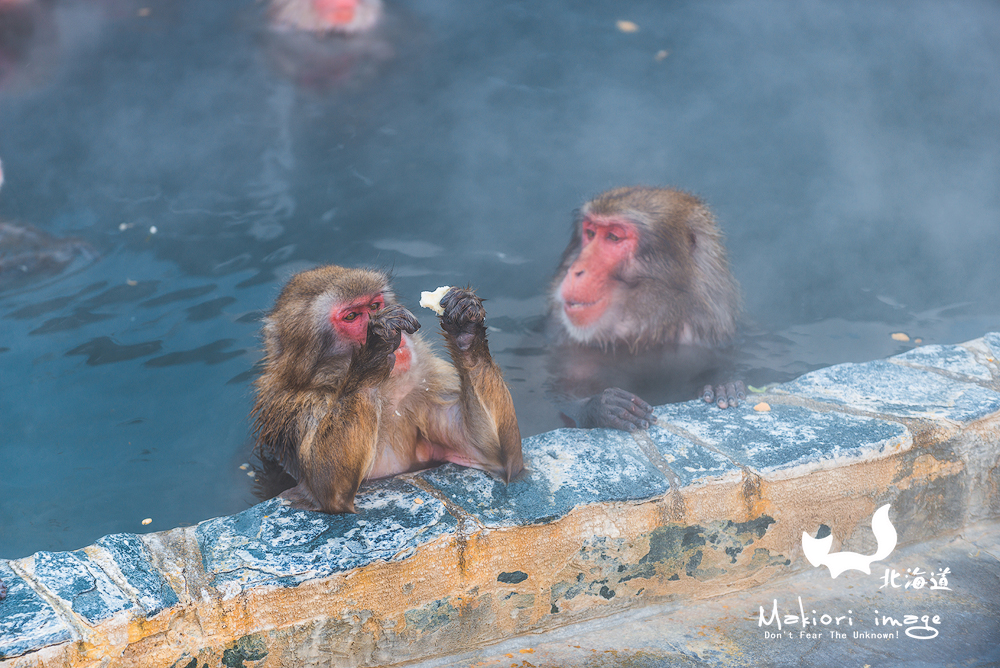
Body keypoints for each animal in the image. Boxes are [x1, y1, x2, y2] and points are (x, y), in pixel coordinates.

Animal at [252, 264, 524, 512]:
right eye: (351, 317)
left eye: (374, 306)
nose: (399, 337)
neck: (387, 395)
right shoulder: (299, 407)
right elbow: (326, 489)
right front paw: (376, 345)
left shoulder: (428, 385)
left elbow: (496, 456)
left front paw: (465, 327)